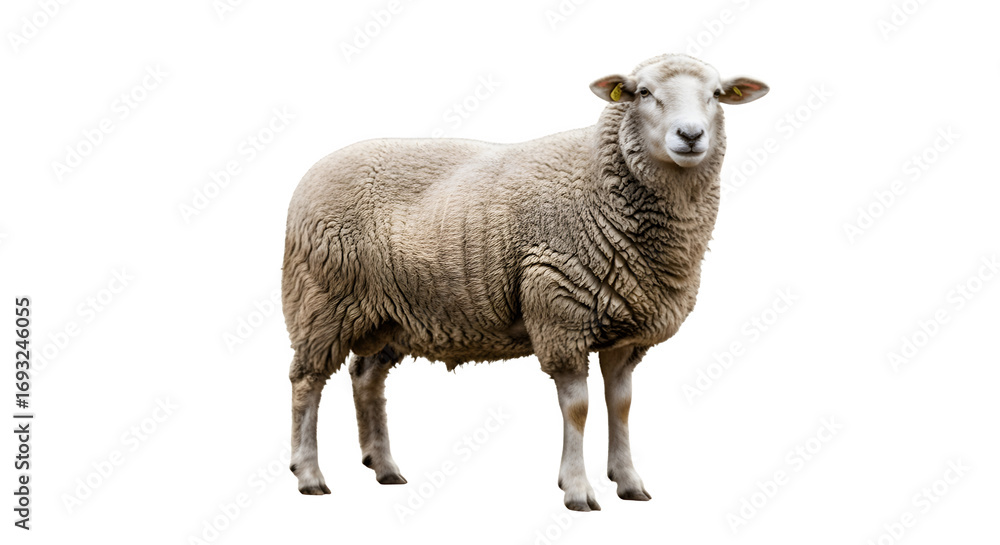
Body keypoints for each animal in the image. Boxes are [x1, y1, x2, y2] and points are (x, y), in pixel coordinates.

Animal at [282, 53, 768, 511]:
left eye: (717, 94)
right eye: (643, 92)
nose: (691, 135)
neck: (597, 181)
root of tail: (313, 172)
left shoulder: (625, 329)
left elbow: (621, 404)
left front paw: (629, 482)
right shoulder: (559, 313)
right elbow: (578, 408)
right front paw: (577, 490)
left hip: (389, 313)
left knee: (366, 377)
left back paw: (384, 467)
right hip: (320, 301)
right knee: (307, 382)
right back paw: (308, 474)